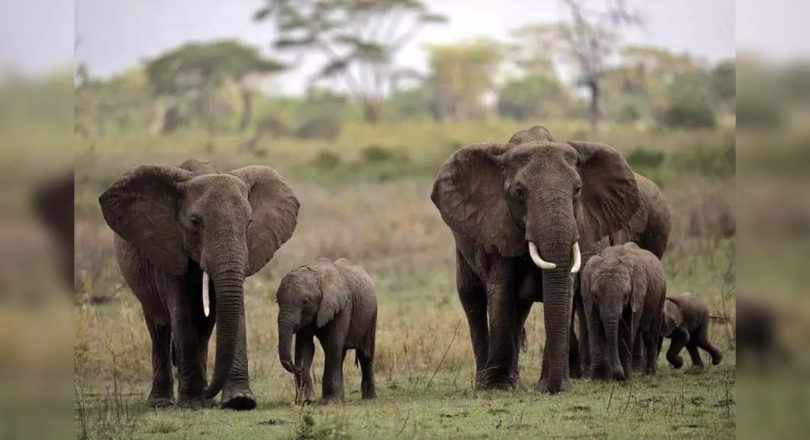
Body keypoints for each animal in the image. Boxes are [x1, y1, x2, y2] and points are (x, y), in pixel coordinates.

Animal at [98, 159, 299, 410]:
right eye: (195, 222)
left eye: (249, 222)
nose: (208, 394)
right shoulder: (169, 245)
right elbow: (181, 312)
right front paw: (193, 402)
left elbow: (234, 308)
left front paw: (240, 401)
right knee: (159, 326)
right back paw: (163, 402)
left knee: (204, 326)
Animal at [275, 258, 377, 404]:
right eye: (277, 301)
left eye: (305, 301)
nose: (298, 367)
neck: (317, 275)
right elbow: (305, 346)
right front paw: (306, 401)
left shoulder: (343, 306)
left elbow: (333, 343)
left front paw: (329, 402)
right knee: (341, 355)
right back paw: (341, 398)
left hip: (371, 315)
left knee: (365, 354)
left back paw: (369, 398)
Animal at [581, 242, 666, 381]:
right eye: (595, 295)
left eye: (626, 295)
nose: (618, 375)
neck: (611, 258)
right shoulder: (588, 296)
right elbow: (595, 326)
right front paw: (599, 378)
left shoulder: (637, 294)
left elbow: (627, 329)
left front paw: (624, 377)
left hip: (661, 294)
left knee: (650, 335)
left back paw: (650, 374)